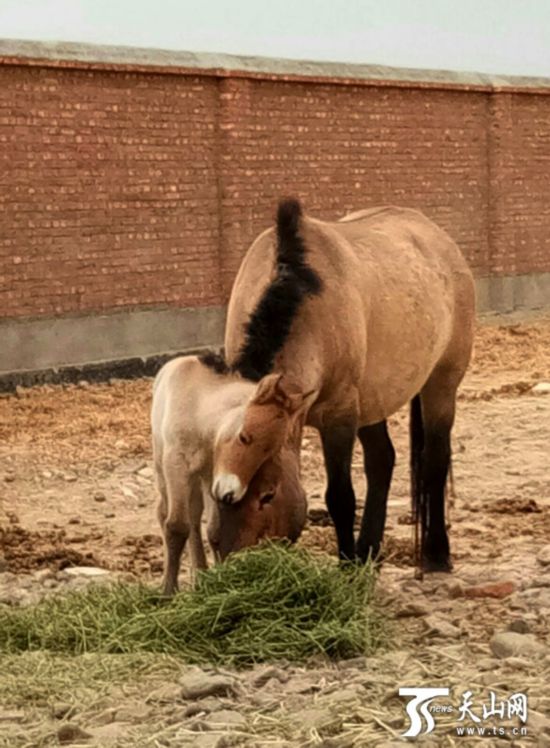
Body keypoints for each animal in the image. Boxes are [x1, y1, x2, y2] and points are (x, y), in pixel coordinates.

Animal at [151, 354, 310, 592]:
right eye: (244, 437)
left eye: (270, 451)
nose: (230, 494)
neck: (199, 410)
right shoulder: (176, 465)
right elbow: (177, 527)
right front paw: (169, 591)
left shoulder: (211, 473)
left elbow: (213, 529)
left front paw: (218, 579)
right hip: (164, 469)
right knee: (165, 514)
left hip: (199, 480)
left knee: (195, 518)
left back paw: (200, 575)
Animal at [213, 199, 476, 572]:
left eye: (268, 495)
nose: (231, 564)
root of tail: (442, 241)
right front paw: (356, 557)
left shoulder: (339, 418)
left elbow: (340, 496)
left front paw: (347, 565)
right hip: (372, 401)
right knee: (382, 460)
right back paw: (369, 549)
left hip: (441, 384)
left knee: (434, 462)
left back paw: (436, 553)